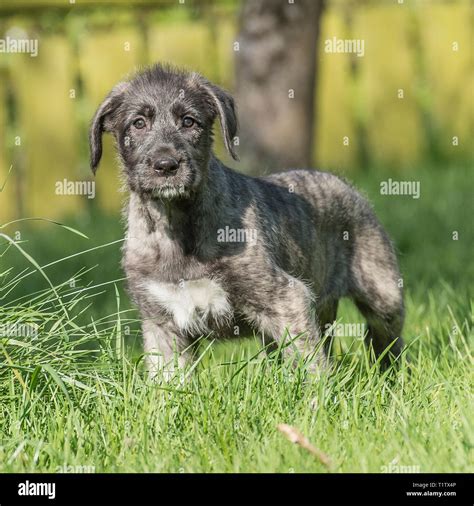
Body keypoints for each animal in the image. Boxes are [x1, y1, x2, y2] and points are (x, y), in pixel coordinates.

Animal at [88, 63, 404, 378]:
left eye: (189, 122)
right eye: (138, 123)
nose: (166, 165)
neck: (176, 224)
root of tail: (346, 186)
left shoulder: (286, 298)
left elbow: (309, 362)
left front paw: (320, 393)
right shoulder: (160, 322)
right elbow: (168, 379)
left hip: (383, 294)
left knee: (385, 342)